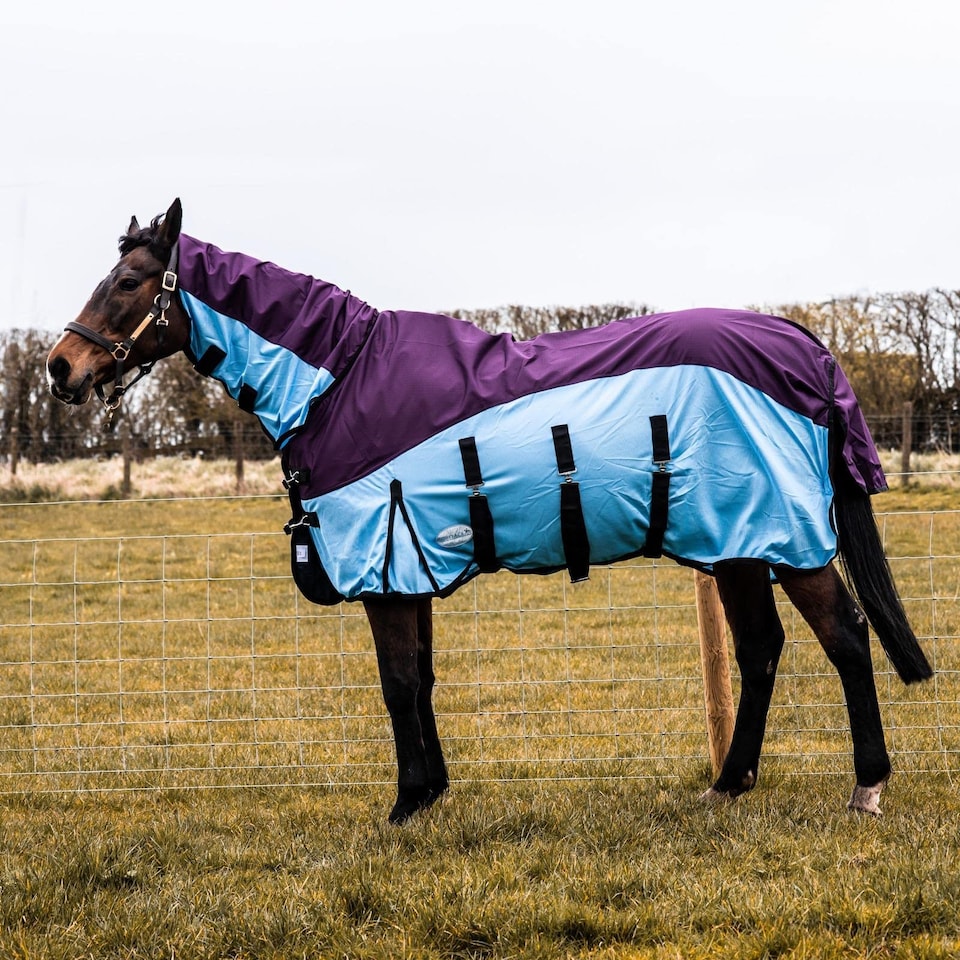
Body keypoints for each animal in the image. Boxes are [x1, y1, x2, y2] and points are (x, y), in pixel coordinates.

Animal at [46, 198, 932, 823]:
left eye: (128, 282)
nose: (60, 366)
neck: (341, 379)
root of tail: (803, 343)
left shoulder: (383, 563)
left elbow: (399, 683)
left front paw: (406, 803)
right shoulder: (405, 568)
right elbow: (422, 680)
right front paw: (432, 792)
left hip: (782, 537)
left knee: (845, 638)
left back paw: (867, 787)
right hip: (738, 543)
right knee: (760, 650)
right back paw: (728, 784)